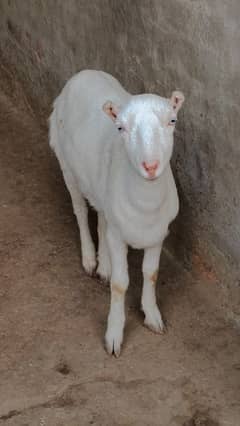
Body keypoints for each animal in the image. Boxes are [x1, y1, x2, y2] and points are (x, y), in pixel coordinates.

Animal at [48, 70, 184, 356]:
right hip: (66, 165)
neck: (145, 207)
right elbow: (121, 284)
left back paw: (104, 265)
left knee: (101, 217)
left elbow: (151, 273)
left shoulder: (158, 233)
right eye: (120, 127)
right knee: (80, 211)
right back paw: (90, 259)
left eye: (172, 120)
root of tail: (82, 73)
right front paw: (114, 334)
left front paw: (152, 316)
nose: (151, 166)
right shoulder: (120, 236)